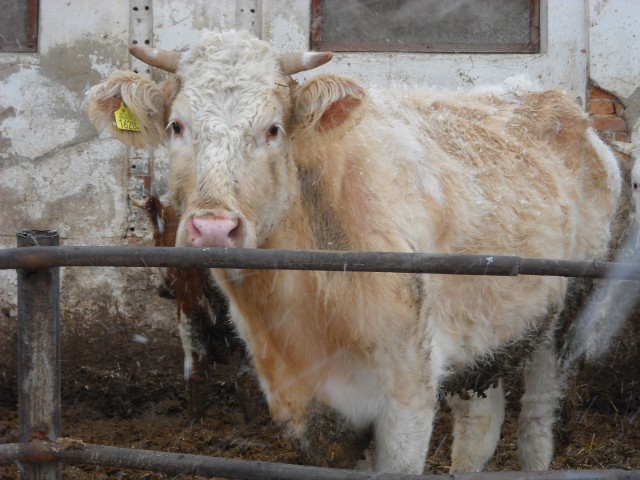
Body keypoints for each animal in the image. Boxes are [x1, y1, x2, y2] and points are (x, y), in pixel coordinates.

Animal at [85, 31, 620, 476]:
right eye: (178, 126)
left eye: (273, 129)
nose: (214, 227)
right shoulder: (316, 410)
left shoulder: (409, 396)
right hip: (481, 336)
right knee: (479, 429)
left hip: (563, 319)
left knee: (536, 425)